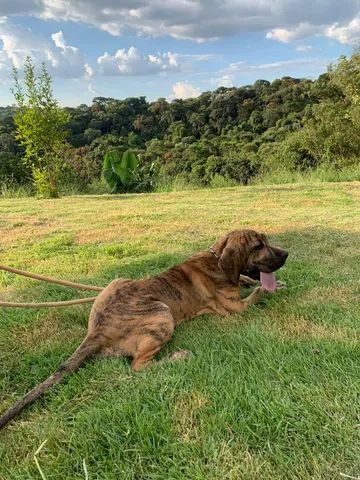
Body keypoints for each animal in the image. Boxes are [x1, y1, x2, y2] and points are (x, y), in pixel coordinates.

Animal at [0, 229, 286, 428]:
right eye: (258, 246)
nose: (286, 254)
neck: (217, 260)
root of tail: (97, 331)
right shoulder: (235, 308)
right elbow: (259, 292)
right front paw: (270, 288)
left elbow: (251, 281)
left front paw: (262, 282)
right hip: (163, 314)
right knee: (139, 366)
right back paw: (178, 357)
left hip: (117, 283)